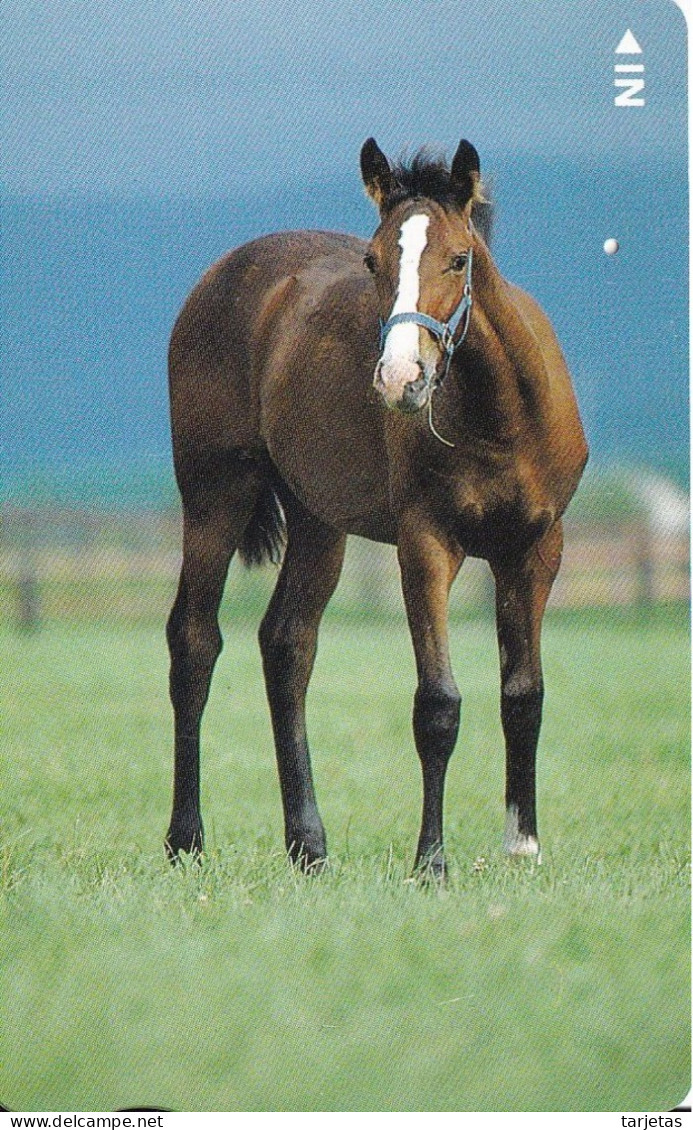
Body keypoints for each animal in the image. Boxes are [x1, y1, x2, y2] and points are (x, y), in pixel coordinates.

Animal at [165, 141, 587, 876]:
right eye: (371, 261)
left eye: (459, 258)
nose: (399, 380)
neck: (501, 417)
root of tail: (222, 276)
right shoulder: (427, 543)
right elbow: (437, 704)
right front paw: (431, 862)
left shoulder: (536, 548)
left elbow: (523, 693)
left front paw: (522, 845)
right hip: (215, 492)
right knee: (194, 641)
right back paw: (186, 840)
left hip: (316, 517)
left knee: (287, 644)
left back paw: (307, 846)